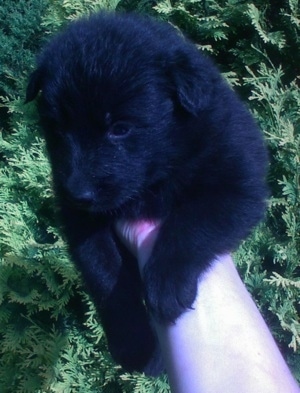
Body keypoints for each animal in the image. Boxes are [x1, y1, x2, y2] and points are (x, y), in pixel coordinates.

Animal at [26, 11, 268, 374]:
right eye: (57, 130)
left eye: (120, 128)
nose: (78, 193)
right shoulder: (82, 222)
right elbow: (104, 272)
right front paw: (133, 342)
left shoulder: (238, 181)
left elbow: (192, 223)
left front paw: (166, 281)